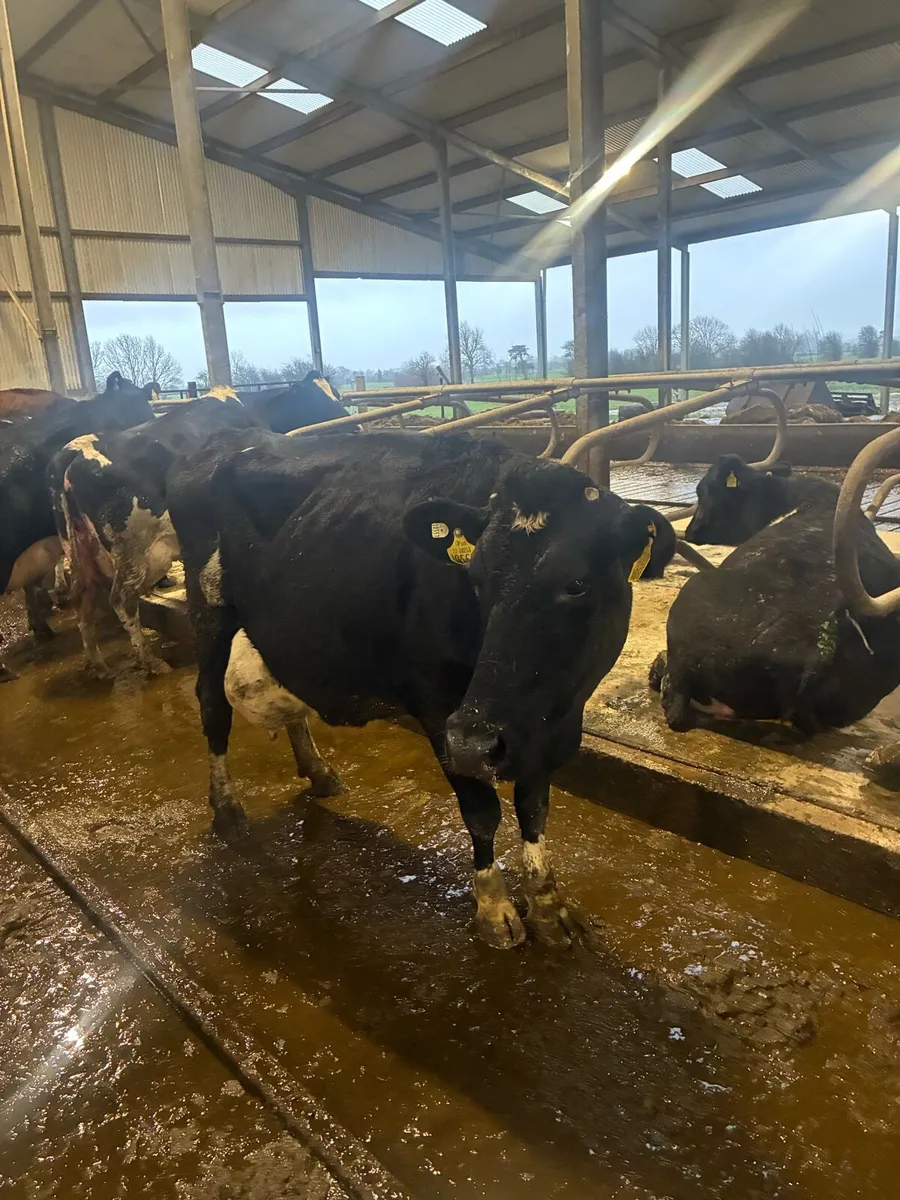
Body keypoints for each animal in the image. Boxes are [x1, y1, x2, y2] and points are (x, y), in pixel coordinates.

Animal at [51, 373, 353, 677]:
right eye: (317, 398)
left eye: (336, 393)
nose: (352, 423)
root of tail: (75, 451)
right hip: (132, 554)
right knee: (121, 601)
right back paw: (151, 662)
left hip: (79, 549)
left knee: (81, 597)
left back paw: (98, 663)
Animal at [167, 429, 664, 949]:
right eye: (475, 577)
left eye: (578, 583)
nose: (477, 738)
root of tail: (229, 437)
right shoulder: (442, 710)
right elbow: (481, 810)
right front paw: (495, 909)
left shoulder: (541, 727)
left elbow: (535, 807)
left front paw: (548, 906)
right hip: (209, 610)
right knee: (213, 706)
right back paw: (227, 809)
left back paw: (318, 772)